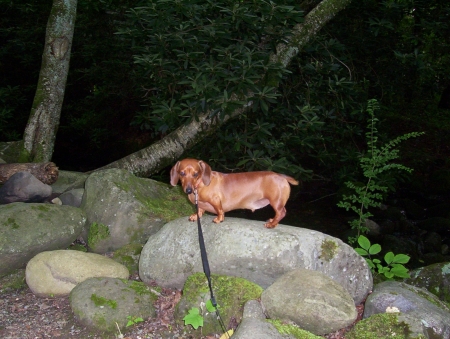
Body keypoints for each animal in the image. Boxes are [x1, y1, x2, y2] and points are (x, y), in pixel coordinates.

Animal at [170, 159, 298, 228]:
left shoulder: (216, 200)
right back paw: (272, 221)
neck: (199, 185)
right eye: (182, 173)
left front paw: (219, 219)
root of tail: (281, 175)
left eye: (196, 174)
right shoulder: (200, 204)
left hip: (276, 201)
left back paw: (272, 224)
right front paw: (196, 216)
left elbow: (220, 211)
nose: (188, 190)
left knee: (281, 212)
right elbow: (200, 210)